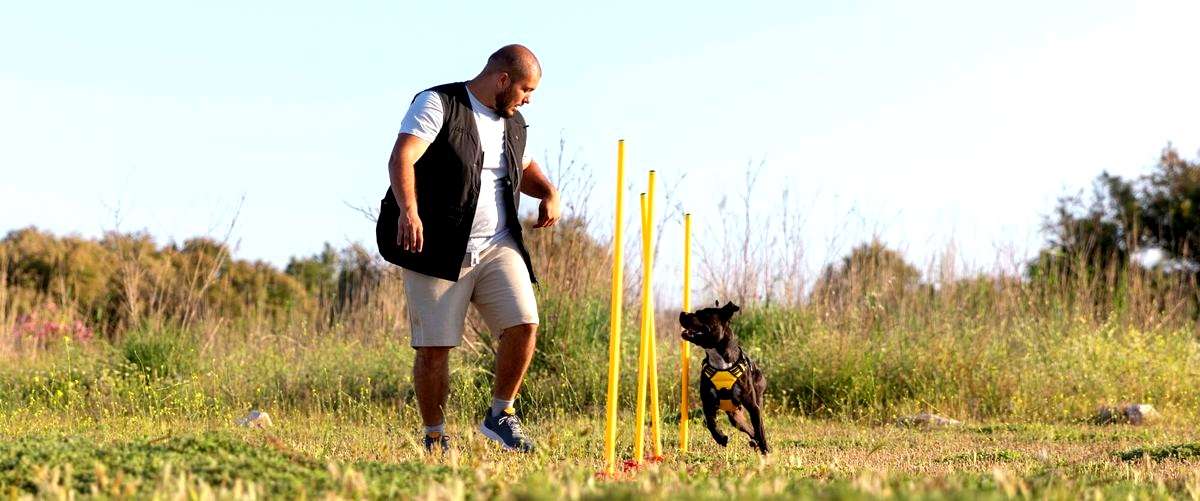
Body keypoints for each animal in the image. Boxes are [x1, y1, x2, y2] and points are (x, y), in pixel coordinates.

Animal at [676, 299, 768, 455]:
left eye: (702, 314)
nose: (683, 313)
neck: (719, 360)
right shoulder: (708, 402)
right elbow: (710, 423)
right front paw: (721, 438)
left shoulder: (753, 407)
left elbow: (760, 430)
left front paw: (766, 450)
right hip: (735, 417)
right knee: (749, 429)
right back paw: (753, 442)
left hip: (756, 400)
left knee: (758, 427)